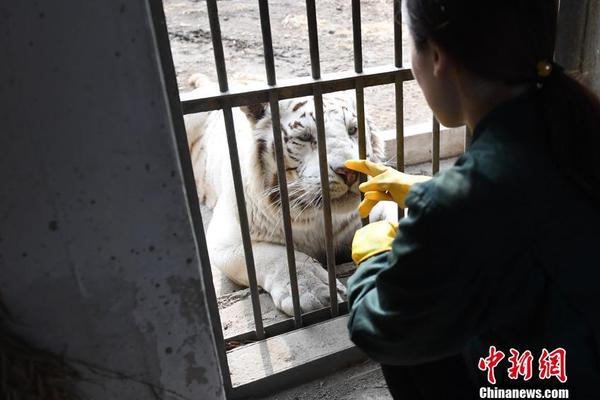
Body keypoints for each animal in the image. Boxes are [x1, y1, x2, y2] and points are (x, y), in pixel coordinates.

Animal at [183, 75, 394, 316]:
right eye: (305, 137)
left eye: (353, 129)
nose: (350, 172)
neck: (315, 217)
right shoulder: (224, 239)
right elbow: (277, 256)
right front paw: (314, 290)